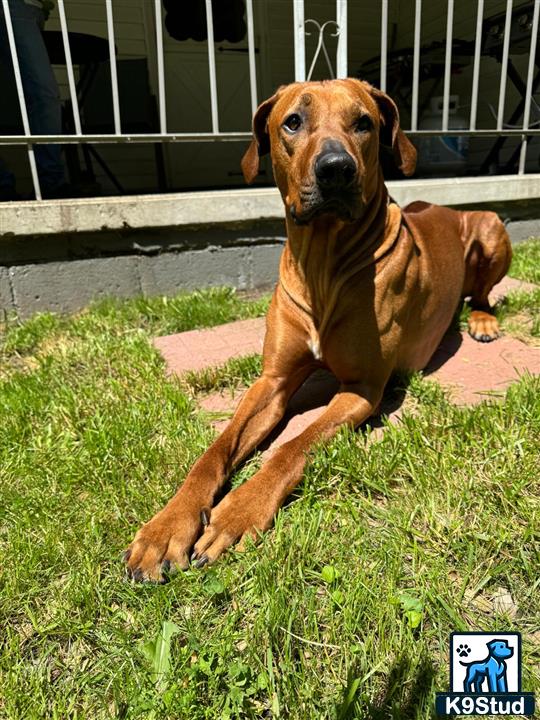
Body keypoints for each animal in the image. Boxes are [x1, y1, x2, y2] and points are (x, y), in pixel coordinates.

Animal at [124, 79, 512, 584]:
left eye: (364, 122)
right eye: (293, 121)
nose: (336, 169)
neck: (323, 261)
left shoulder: (362, 389)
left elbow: (291, 447)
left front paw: (238, 511)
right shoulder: (271, 381)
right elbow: (213, 452)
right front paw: (167, 526)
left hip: (492, 227)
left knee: (482, 293)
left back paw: (482, 320)